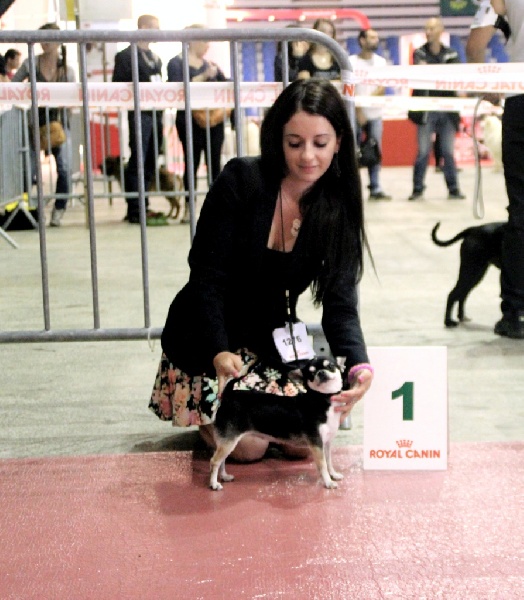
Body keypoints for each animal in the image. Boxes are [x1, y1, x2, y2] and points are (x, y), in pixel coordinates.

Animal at [209, 356, 344, 491]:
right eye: (311, 374)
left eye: (330, 366)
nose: (320, 373)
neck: (322, 398)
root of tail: (228, 395)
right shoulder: (316, 443)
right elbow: (322, 464)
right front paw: (328, 482)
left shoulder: (326, 443)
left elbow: (329, 461)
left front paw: (333, 475)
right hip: (229, 441)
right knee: (215, 461)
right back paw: (214, 484)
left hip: (227, 442)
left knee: (222, 461)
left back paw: (224, 476)